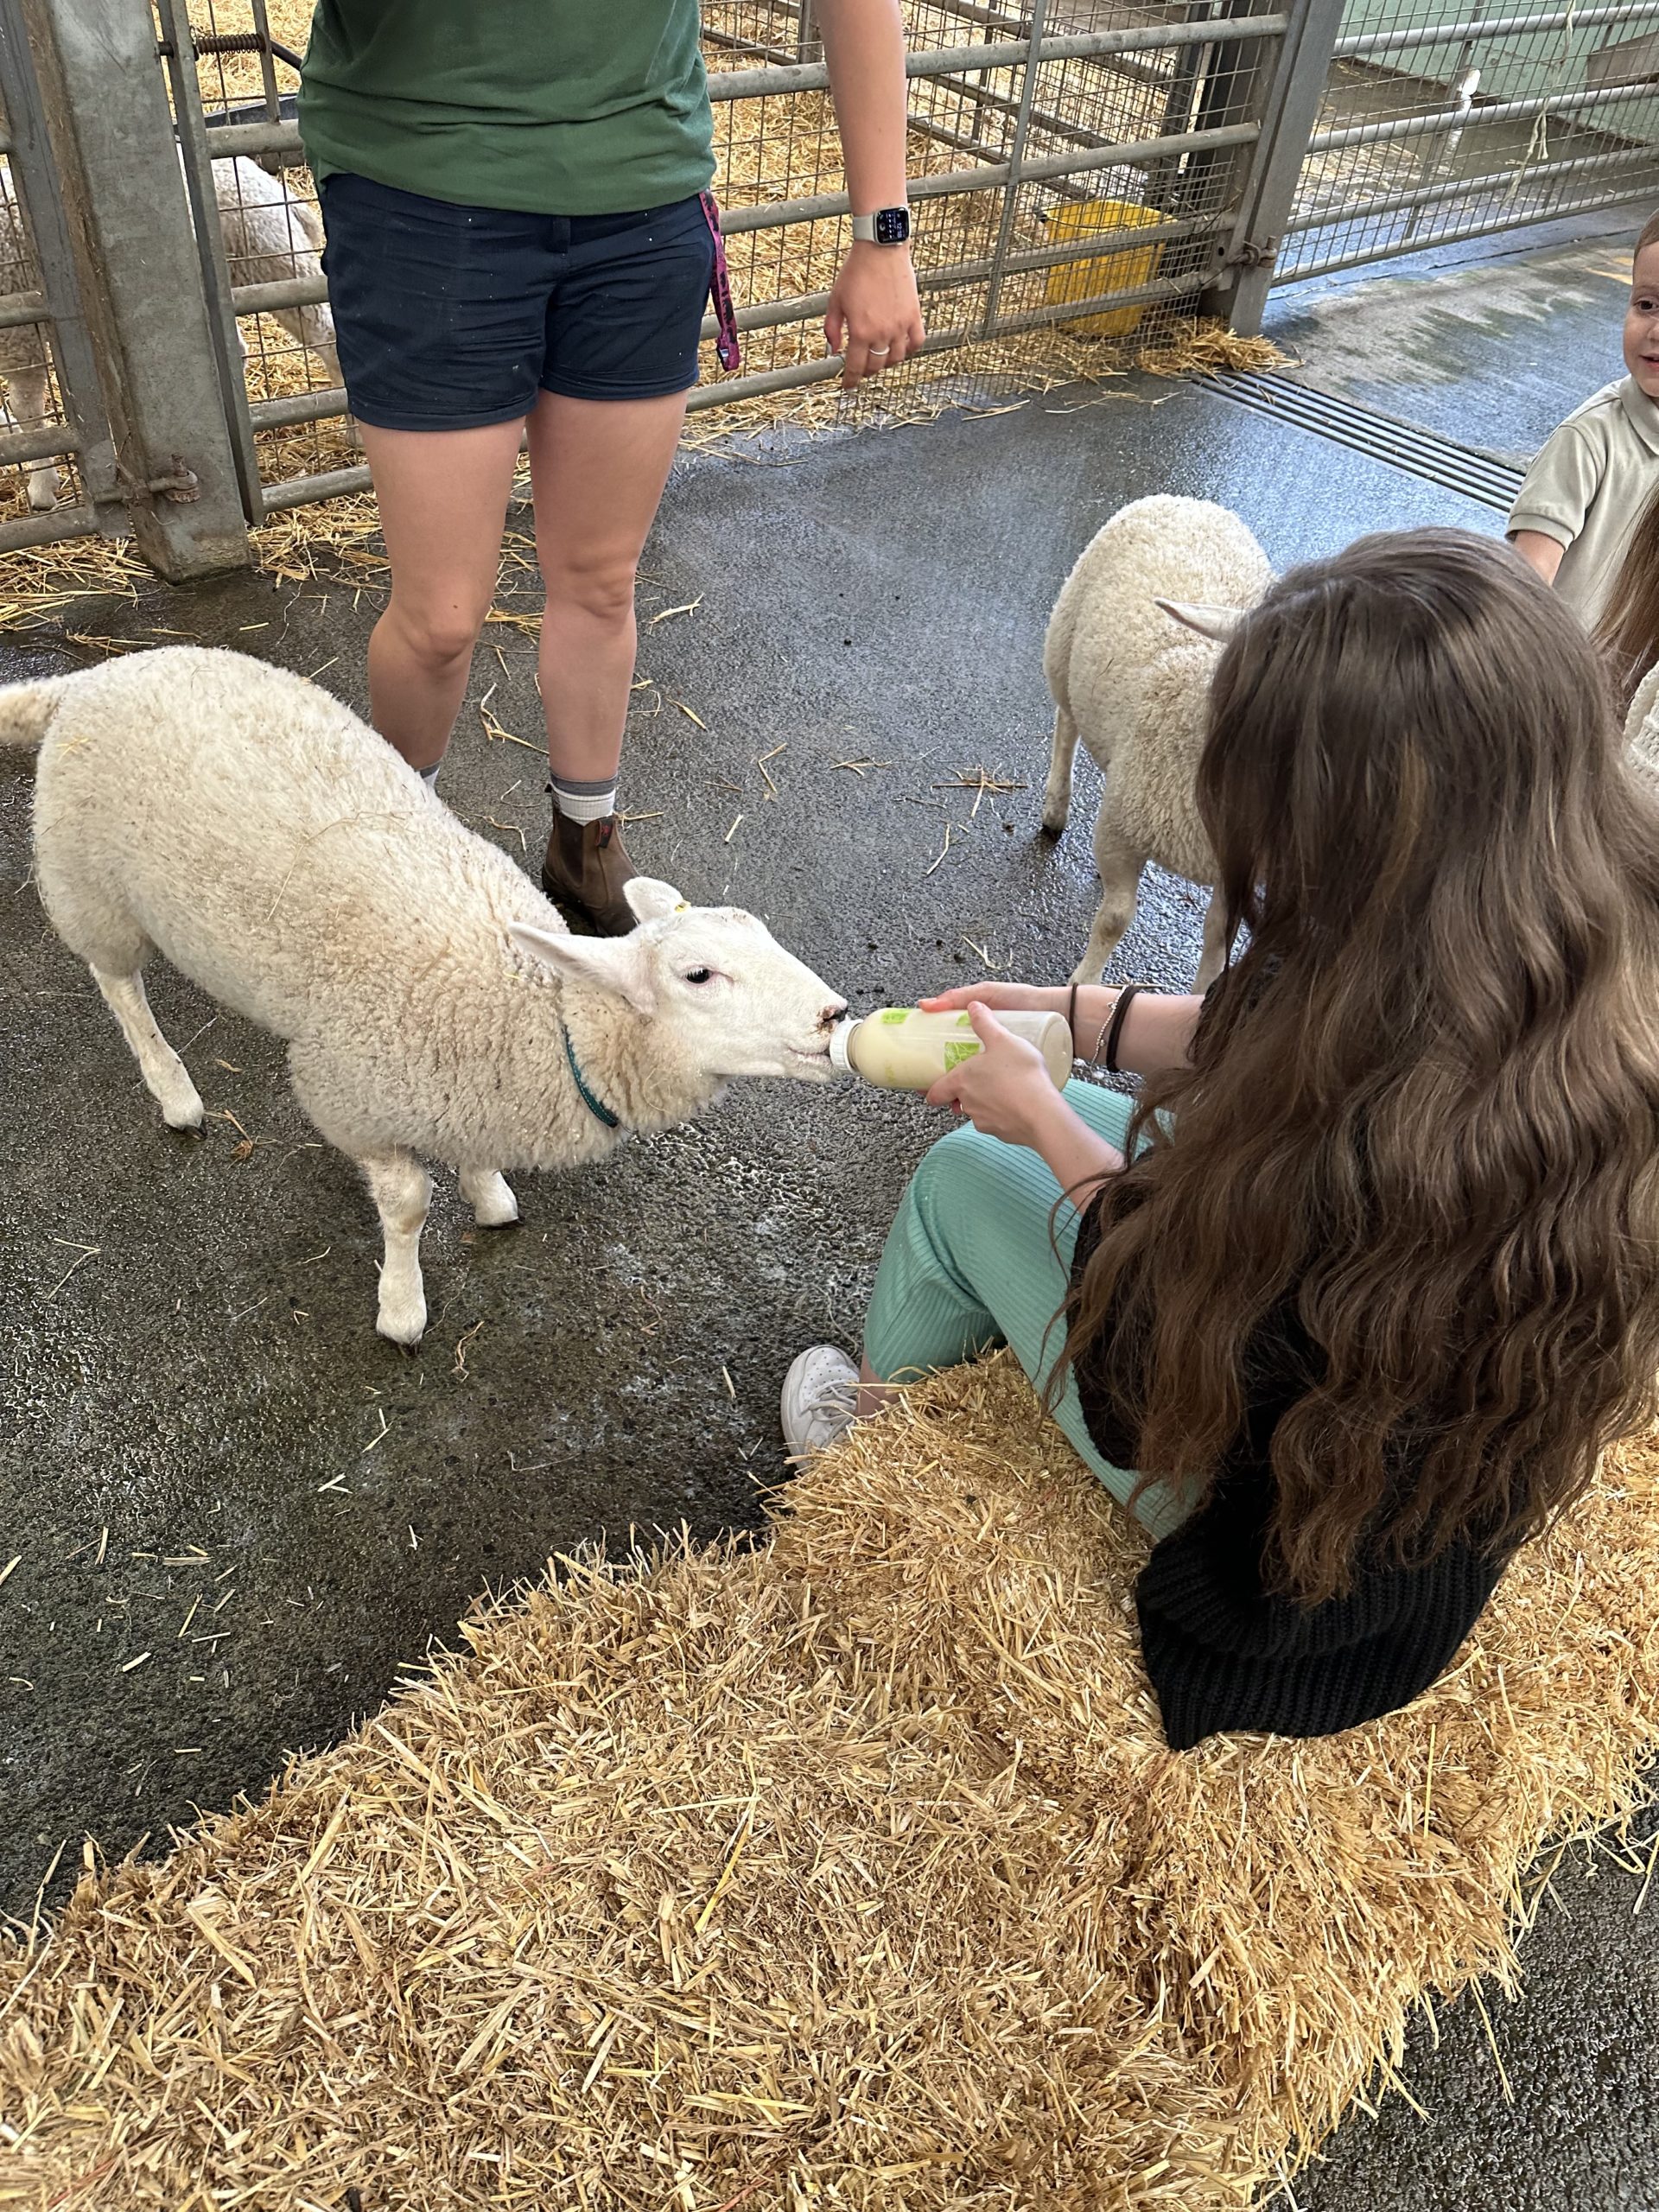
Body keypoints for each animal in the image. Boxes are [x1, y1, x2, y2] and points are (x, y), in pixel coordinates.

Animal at [0, 155, 342, 513]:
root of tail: (266, 181)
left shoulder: (20, 335)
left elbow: (28, 415)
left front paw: (41, 488)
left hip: (271, 255)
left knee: (326, 330)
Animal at [1, 646, 847, 1344]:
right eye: (699, 975)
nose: (835, 1015)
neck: (534, 1017)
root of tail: (93, 676)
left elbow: (475, 1163)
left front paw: (488, 1194)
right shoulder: (351, 1098)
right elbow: (407, 1204)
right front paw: (402, 1305)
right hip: (91, 886)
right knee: (119, 985)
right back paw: (173, 1090)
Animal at [1040, 493, 1274, 989]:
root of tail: (1193, 503)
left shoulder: (1234, 866)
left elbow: (1218, 937)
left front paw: (1203, 993)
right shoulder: (1120, 831)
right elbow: (1116, 918)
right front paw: (1083, 983)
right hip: (1063, 648)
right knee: (1066, 724)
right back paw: (1055, 808)